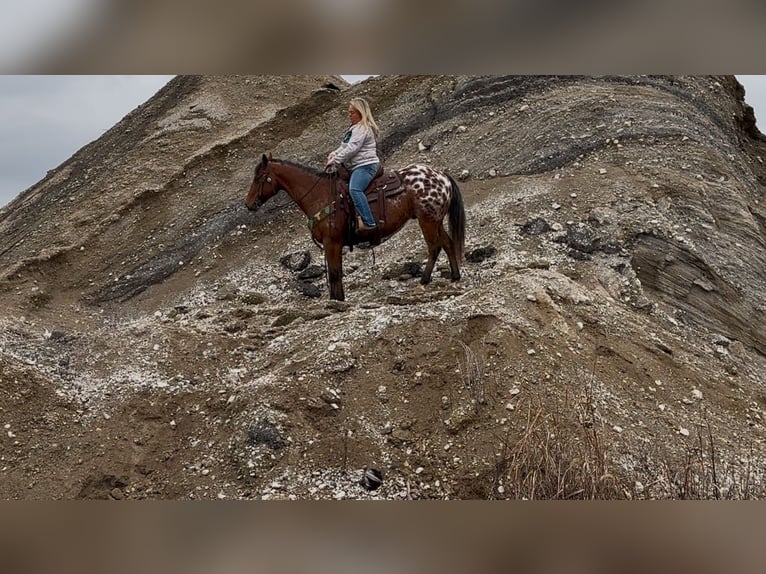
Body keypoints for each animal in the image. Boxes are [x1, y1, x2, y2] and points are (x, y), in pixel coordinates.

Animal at [244, 155, 468, 304]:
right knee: (448, 243)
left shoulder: (332, 242)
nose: (249, 204)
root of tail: (442, 176)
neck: (320, 195)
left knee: (434, 246)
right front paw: (337, 298)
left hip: (427, 220)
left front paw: (337, 301)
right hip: (436, 220)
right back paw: (454, 275)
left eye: (259, 177)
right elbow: (336, 272)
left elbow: (335, 273)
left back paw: (424, 279)